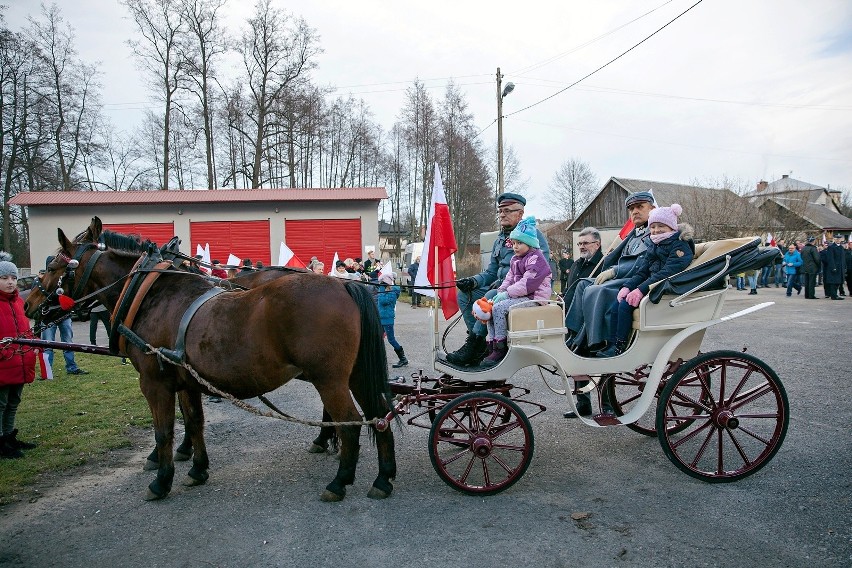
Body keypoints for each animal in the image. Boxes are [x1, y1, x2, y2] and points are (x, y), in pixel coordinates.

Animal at [25, 217, 398, 502]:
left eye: (54, 266)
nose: (29, 305)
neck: (151, 294)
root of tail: (344, 286)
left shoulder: (154, 383)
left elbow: (163, 432)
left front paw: (161, 480)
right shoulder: (186, 381)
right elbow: (194, 423)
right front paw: (197, 468)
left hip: (329, 378)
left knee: (350, 422)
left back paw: (339, 481)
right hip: (354, 374)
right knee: (379, 414)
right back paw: (382, 477)